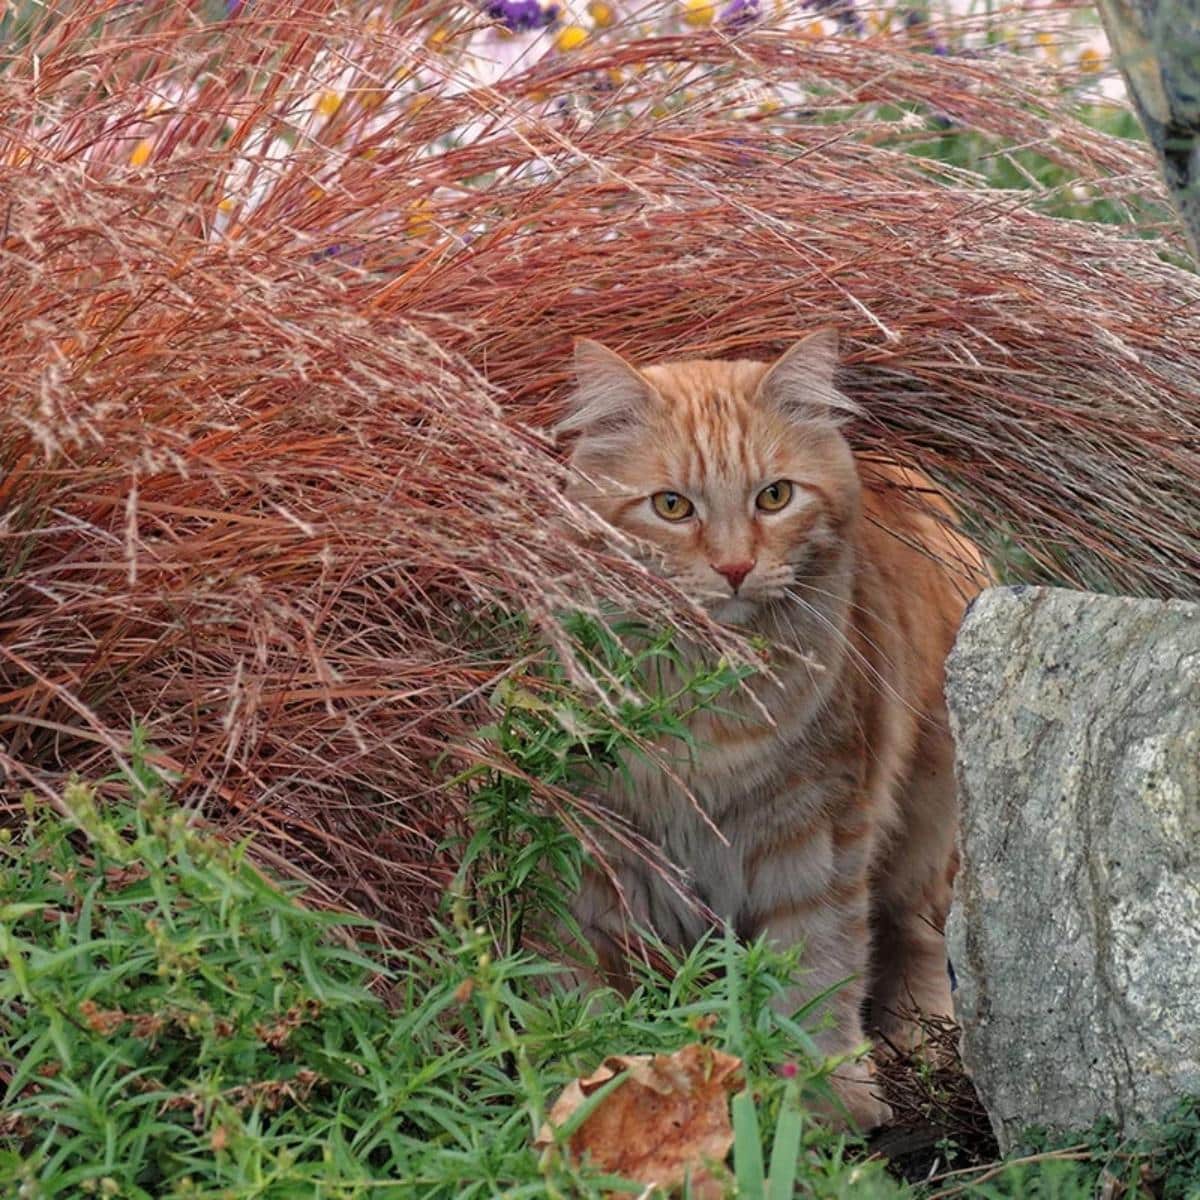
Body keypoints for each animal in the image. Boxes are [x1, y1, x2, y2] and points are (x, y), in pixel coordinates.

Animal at [556, 328, 988, 1123]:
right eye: (672, 506)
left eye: (775, 496)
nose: (734, 567)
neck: (706, 711)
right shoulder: (616, 851)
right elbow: (596, 987)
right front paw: (604, 1072)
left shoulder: (816, 839)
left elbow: (815, 971)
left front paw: (821, 1097)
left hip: (927, 814)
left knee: (918, 932)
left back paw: (921, 1032)